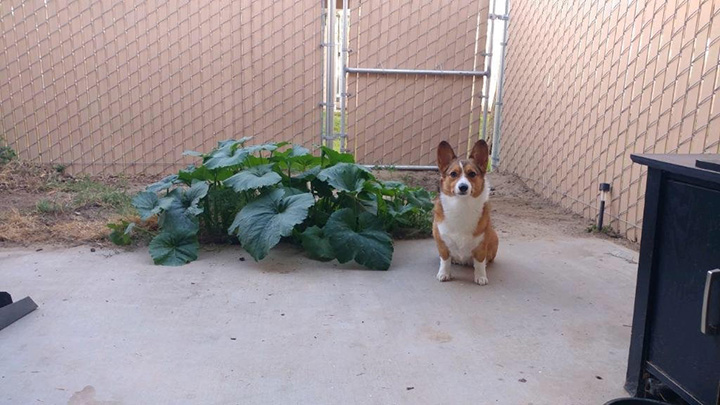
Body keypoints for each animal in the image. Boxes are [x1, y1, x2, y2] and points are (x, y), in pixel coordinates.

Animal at [430, 139, 498, 284]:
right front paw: (444, 274)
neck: (462, 205)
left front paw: (481, 277)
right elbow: (445, 260)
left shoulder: (481, 244)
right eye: (453, 174)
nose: (463, 187)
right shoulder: (442, 242)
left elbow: (479, 262)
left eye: (472, 174)